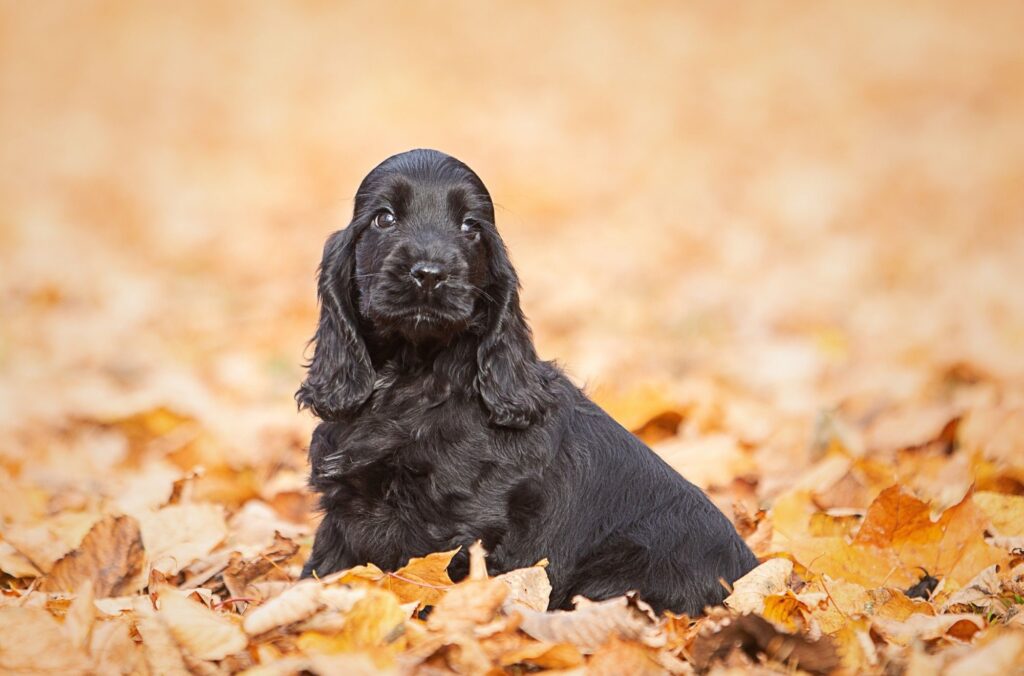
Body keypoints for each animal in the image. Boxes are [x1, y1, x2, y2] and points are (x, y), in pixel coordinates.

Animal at [299, 150, 757, 614]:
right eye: (384, 218)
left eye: (471, 226)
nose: (429, 274)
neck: (414, 374)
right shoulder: (344, 512)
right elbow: (320, 568)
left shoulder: (460, 523)